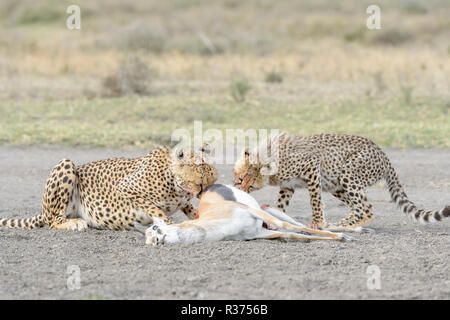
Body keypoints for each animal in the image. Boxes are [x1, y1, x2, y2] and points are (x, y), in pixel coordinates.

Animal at [0, 146, 218, 231]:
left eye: (210, 182)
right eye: (199, 183)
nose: (204, 193)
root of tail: (43, 211)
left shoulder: (184, 200)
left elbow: (189, 208)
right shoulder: (125, 188)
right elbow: (156, 209)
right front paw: (170, 225)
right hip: (66, 163)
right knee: (53, 221)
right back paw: (74, 223)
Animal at [234, 134, 448, 231]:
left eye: (249, 184)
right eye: (240, 180)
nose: (242, 190)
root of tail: (383, 153)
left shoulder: (311, 166)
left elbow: (315, 200)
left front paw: (317, 223)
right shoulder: (288, 185)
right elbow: (281, 204)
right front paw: (272, 220)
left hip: (348, 174)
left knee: (365, 209)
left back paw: (339, 226)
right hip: (335, 184)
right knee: (360, 207)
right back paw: (343, 224)